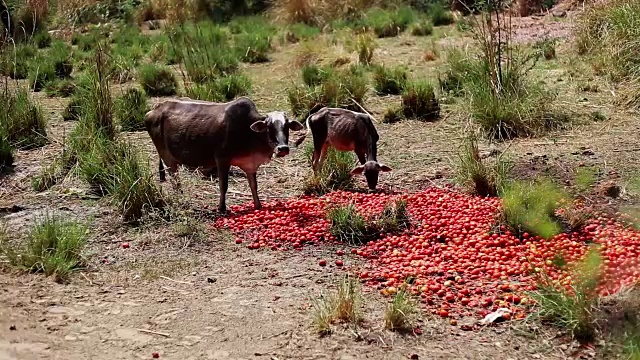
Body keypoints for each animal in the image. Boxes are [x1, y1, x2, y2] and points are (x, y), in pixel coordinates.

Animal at [145, 96, 304, 214]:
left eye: (287, 126)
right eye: (269, 126)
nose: (283, 148)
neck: (248, 131)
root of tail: (155, 109)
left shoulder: (250, 165)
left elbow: (253, 185)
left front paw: (258, 205)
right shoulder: (222, 159)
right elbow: (224, 185)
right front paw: (221, 208)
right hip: (167, 156)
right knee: (175, 180)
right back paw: (181, 199)